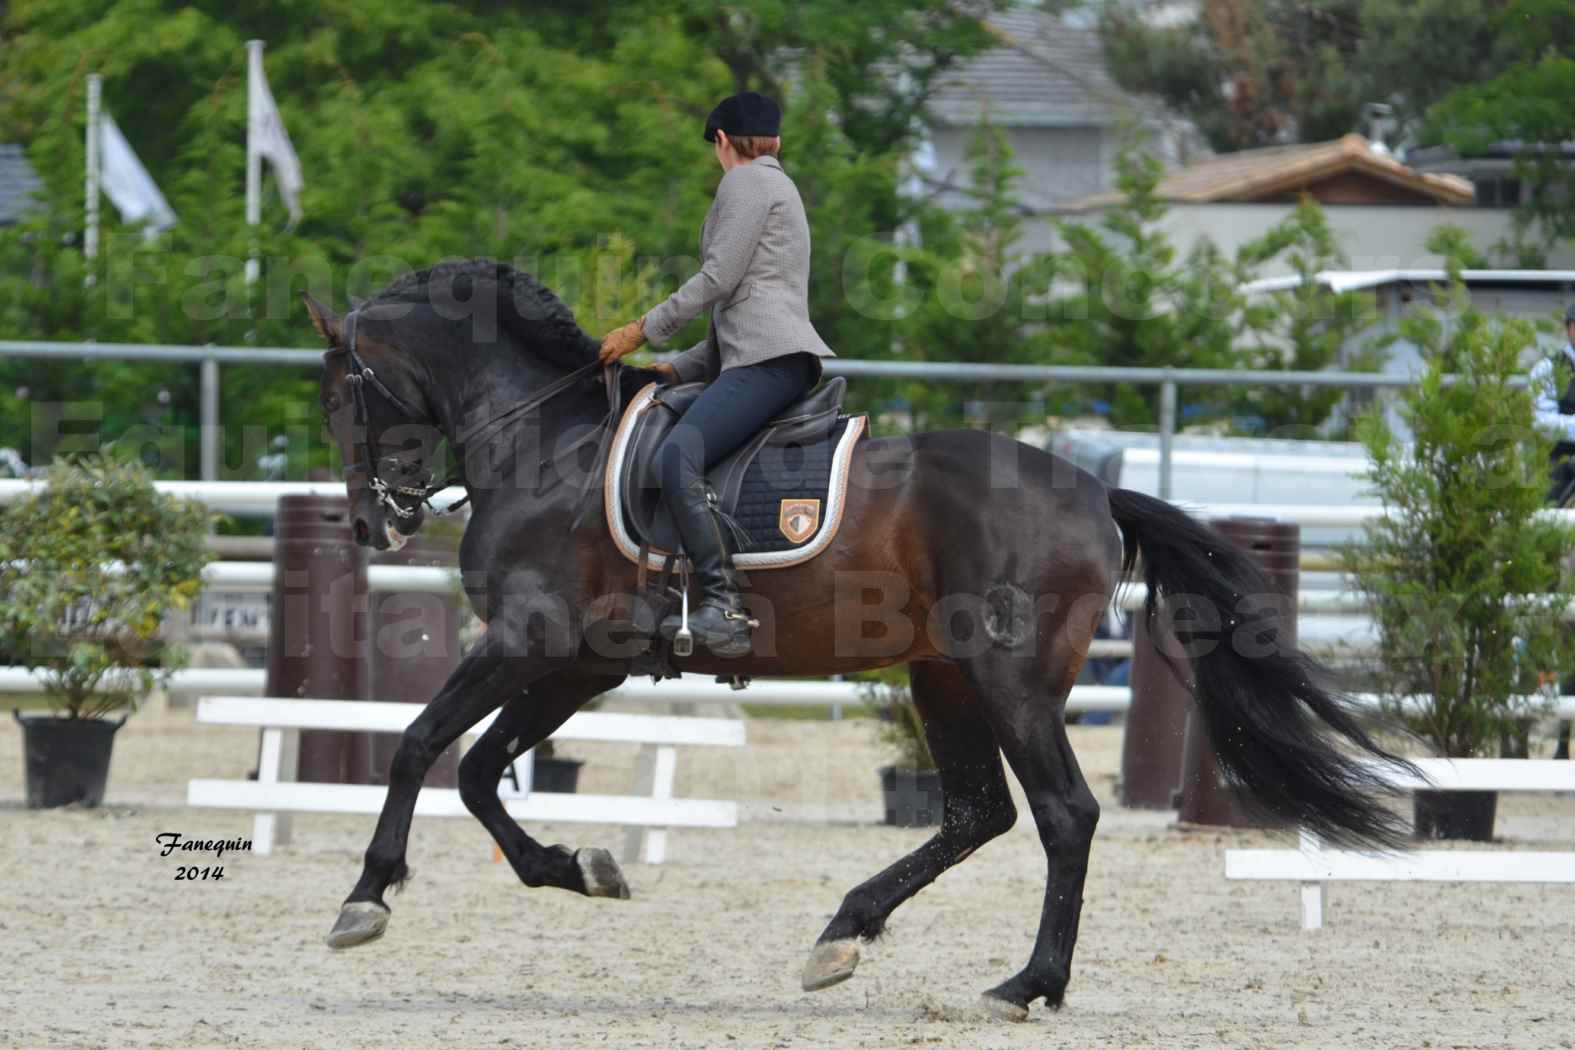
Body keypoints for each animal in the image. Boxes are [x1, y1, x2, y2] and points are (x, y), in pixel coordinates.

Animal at [300, 258, 1411, 1020]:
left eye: (338, 391)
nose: (371, 524)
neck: (547, 446)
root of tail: (1097, 491)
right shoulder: (575, 662)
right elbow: (479, 770)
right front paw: (582, 869)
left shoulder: (525, 639)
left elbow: (418, 746)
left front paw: (364, 899)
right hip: (943, 680)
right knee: (976, 814)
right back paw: (843, 933)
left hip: (1010, 682)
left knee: (1063, 815)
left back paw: (1027, 983)